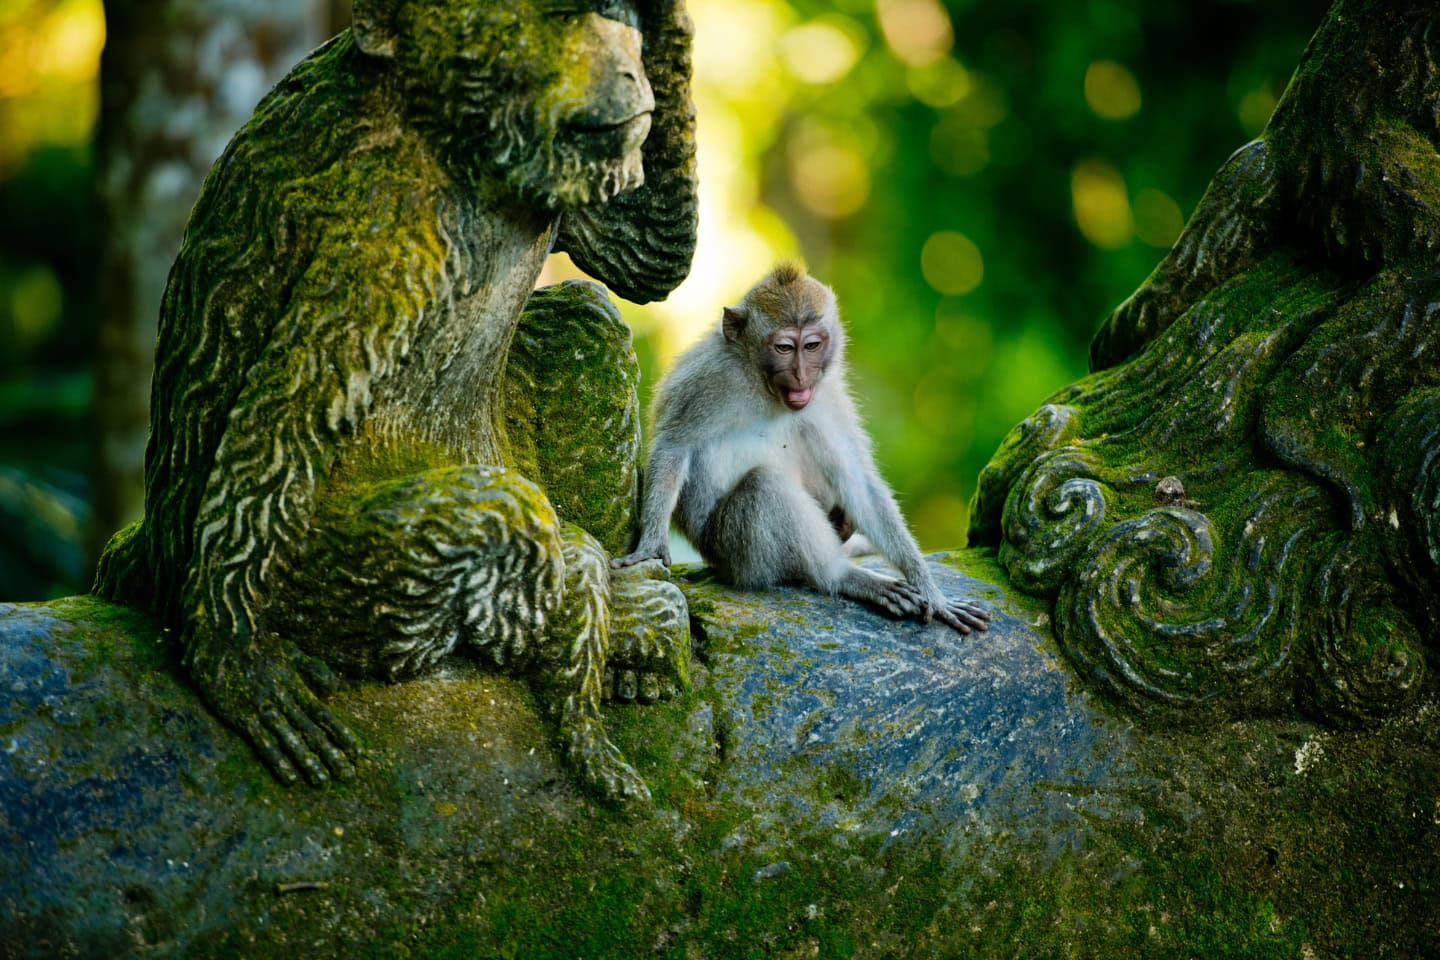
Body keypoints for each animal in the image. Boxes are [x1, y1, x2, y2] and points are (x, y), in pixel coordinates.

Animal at [613, 263, 991, 635]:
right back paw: (843, 576)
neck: (760, 384)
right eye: (783, 348)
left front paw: (933, 593)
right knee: (765, 487)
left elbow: (857, 480)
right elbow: (673, 447)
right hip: (736, 555)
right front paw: (651, 545)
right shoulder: (706, 378)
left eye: (811, 346)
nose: (800, 374)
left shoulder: (826, 395)